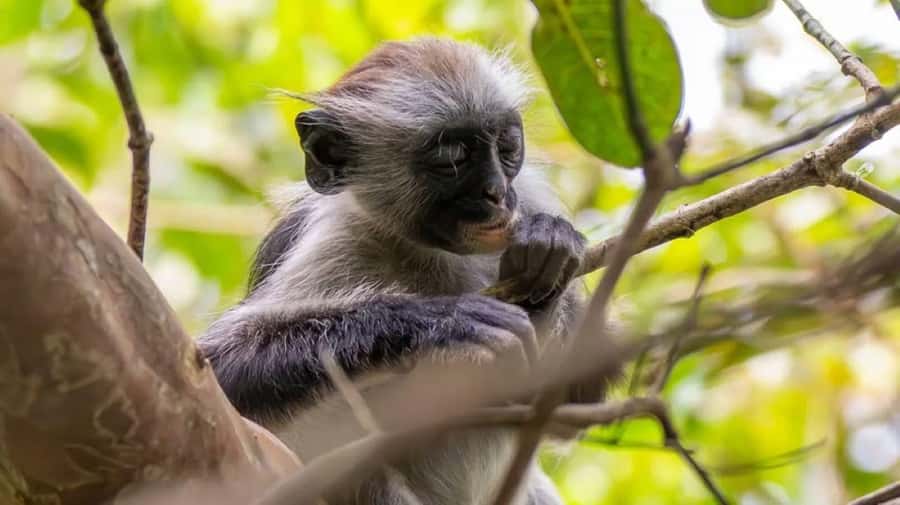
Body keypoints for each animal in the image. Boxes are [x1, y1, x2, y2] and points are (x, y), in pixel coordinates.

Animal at [198, 38, 592, 505]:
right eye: (452, 158)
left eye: (507, 146)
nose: (496, 192)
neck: (431, 252)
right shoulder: (333, 237)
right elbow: (217, 370)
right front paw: (445, 321)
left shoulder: (525, 200)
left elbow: (573, 411)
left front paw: (548, 253)